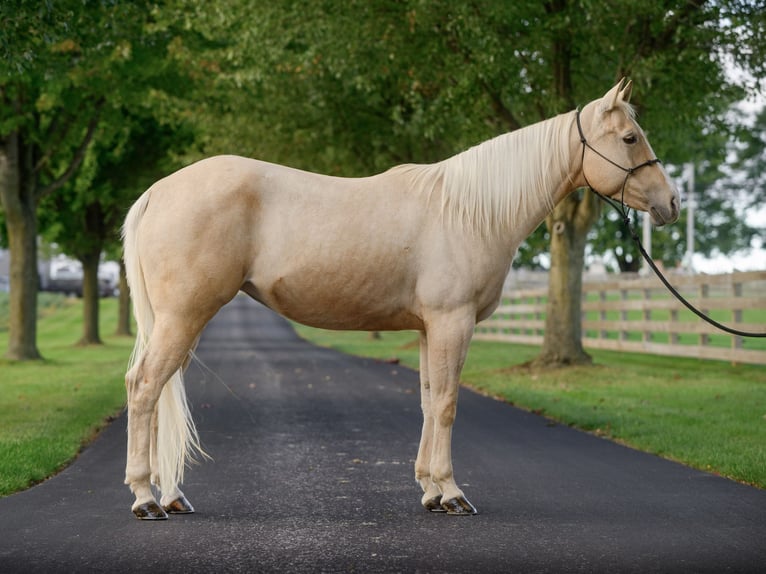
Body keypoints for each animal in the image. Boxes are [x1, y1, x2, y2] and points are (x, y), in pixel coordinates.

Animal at [122, 79, 679, 520]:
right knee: (145, 387)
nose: (671, 203)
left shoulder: (429, 327)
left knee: (161, 389)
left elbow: (429, 401)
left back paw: (171, 496)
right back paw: (146, 498)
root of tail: (157, 191)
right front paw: (452, 494)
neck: (469, 211)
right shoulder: (453, 323)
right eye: (630, 137)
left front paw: (430, 490)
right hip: (184, 317)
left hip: (182, 320)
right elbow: (449, 404)